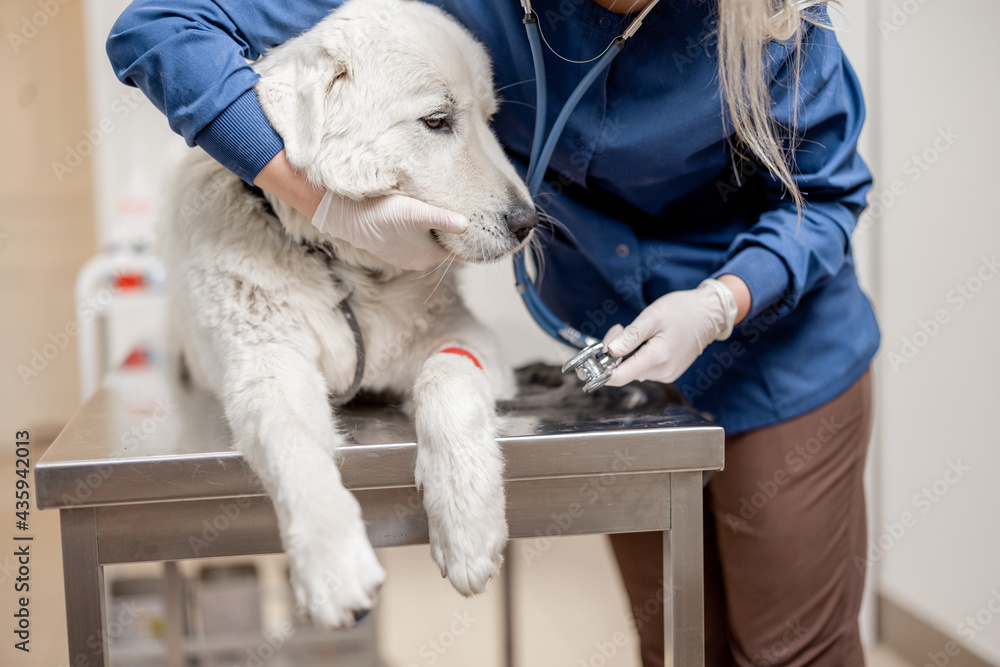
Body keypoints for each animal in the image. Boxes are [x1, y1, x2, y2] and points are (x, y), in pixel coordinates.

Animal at [162, 0, 540, 628]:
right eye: (438, 121)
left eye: (490, 120)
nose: (528, 223)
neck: (343, 268)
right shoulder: (265, 369)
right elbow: (292, 445)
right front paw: (333, 564)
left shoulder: (469, 341)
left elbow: (446, 380)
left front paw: (467, 523)